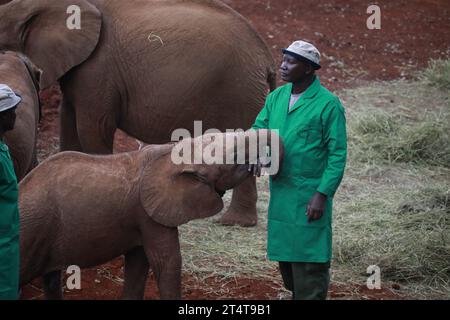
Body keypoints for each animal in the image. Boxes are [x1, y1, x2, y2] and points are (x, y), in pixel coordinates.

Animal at [0, 0, 274, 226]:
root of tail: (267, 58)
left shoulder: (99, 69)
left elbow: (94, 127)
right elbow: (68, 120)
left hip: (239, 91)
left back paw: (234, 222)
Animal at [20, 129, 284, 298]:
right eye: (234, 158)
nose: (260, 162)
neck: (174, 154)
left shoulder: (139, 220)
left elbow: (139, 264)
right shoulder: (149, 215)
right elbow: (166, 262)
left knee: (51, 280)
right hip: (30, 232)